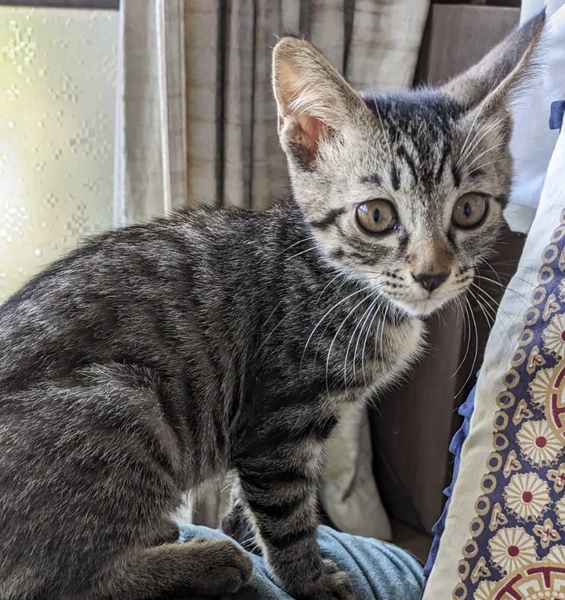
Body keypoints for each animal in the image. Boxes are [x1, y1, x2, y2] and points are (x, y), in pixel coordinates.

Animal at [0, 12, 544, 600]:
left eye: (469, 210)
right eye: (375, 215)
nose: (432, 274)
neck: (345, 283)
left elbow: (249, 502)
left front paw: (242, 531)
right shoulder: (278, 421)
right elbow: (286, 514)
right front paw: (309, 579)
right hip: (129, 401)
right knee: (55, 582)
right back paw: (205, 562)